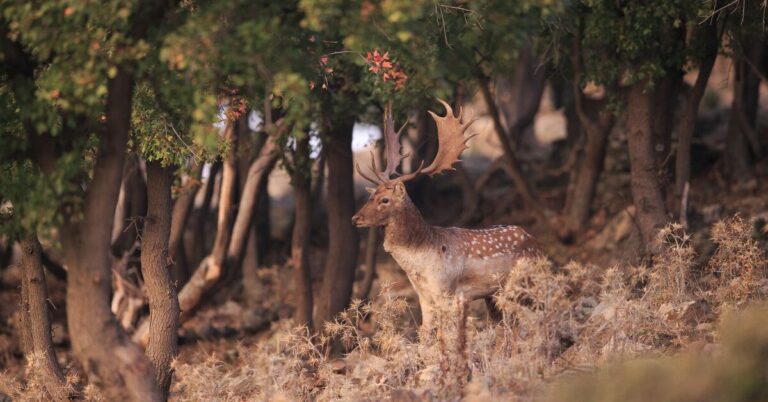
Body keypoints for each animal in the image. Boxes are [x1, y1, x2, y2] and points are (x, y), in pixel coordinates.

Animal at [352, 99, 544, 330]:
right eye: (371, 196)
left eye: (385, 200)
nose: (355, 218)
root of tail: (538, 245)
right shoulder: (423, 296)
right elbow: (425, 333)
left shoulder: (447, 291)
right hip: (493, 295)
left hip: (525, 283)